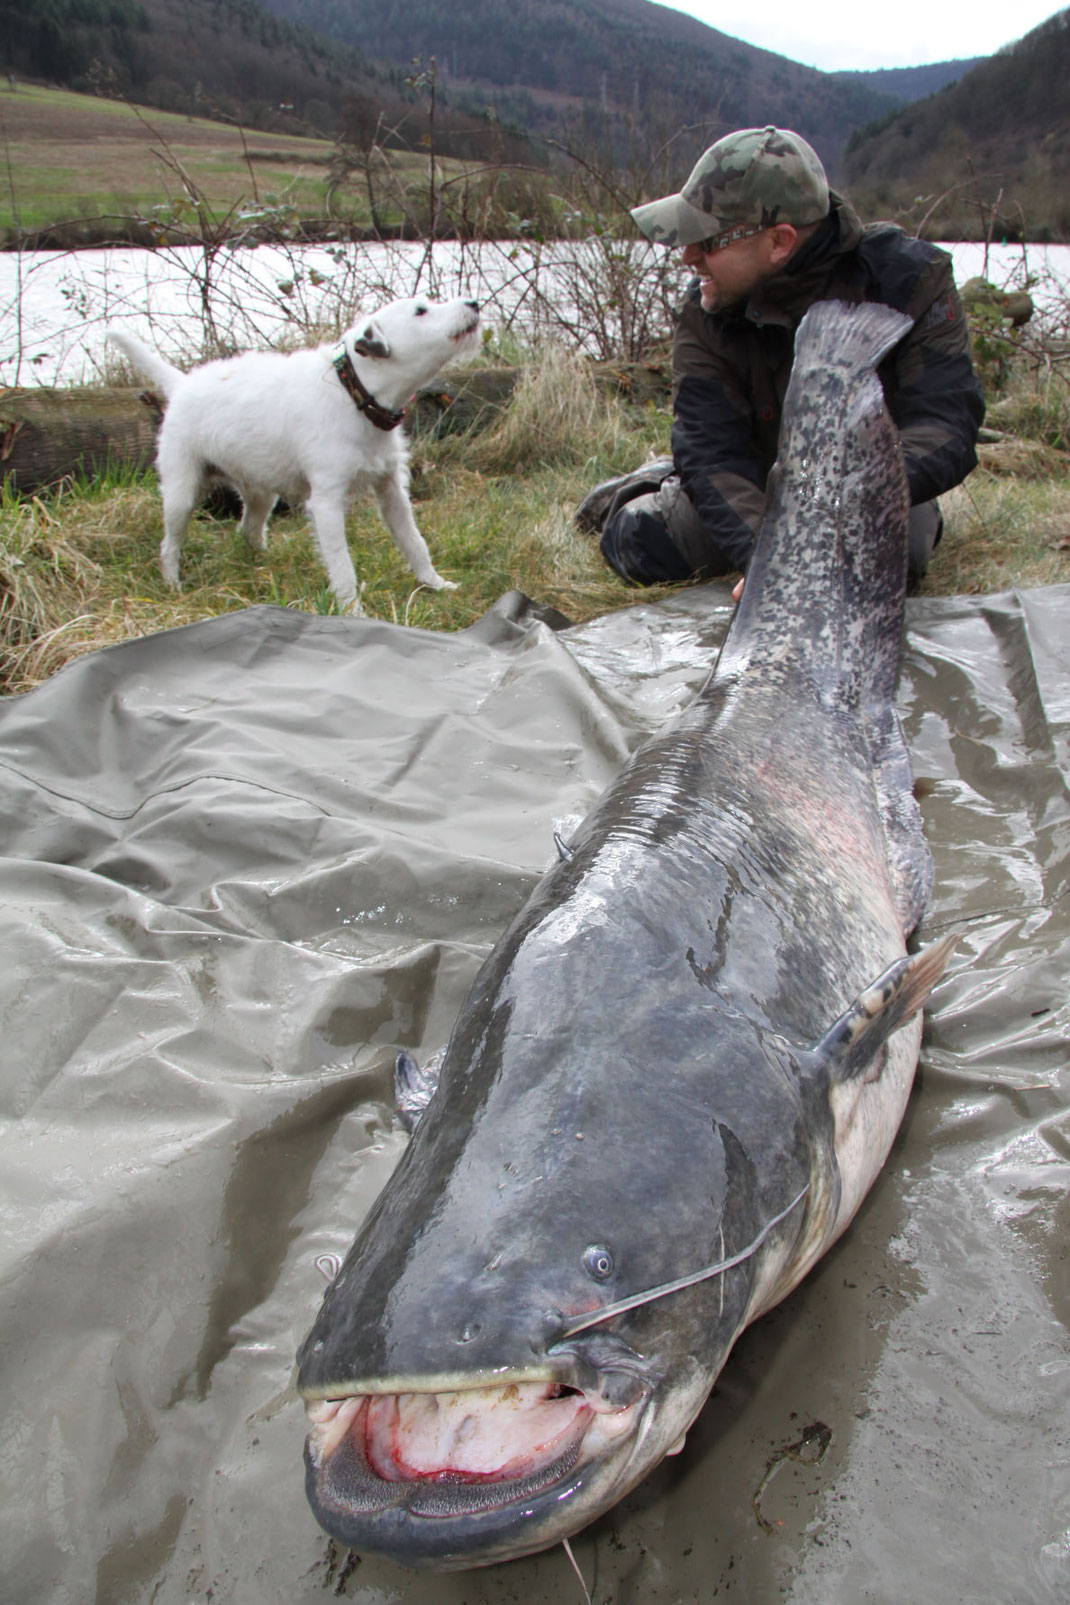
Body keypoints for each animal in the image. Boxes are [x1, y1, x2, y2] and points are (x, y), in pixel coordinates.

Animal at [106, 295, 478, 606]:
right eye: (421, 311)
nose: (473, 303)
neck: (353, 394)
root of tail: (182, 384)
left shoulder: (391, 490)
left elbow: (415, 543)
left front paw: (436, 584)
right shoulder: (327, 503)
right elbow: (342, 566)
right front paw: (353, 610)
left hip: (260, 492)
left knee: (249, 530)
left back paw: (263, 565)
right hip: (181, 493)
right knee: (169, 544)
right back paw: (173, 585)